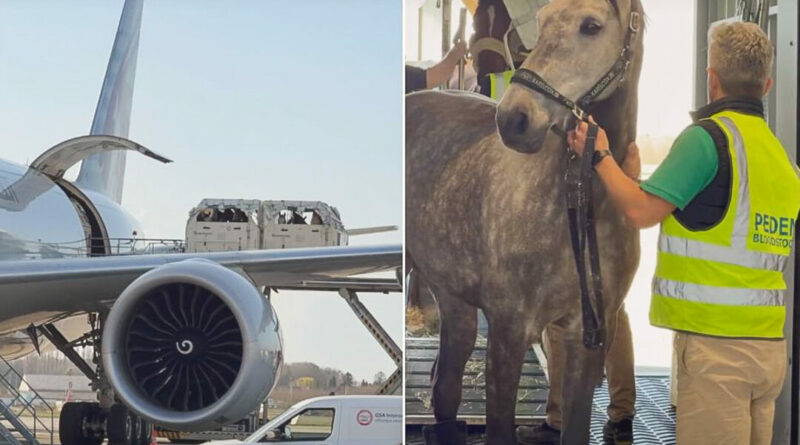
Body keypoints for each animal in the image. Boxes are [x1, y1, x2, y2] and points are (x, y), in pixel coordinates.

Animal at [405, 0, 644, 443]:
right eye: (544, 20)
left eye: (591, 26)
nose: (514, 119)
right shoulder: (509, 330)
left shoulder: (586, 338)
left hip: (455, 299)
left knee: (446, 387)